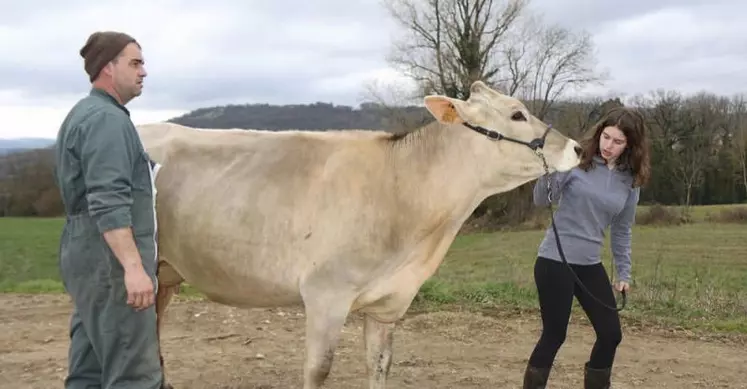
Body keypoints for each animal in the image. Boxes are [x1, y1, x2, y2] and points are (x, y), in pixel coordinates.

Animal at [137, 79, 584, 388]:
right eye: (516, 114)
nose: (578, 148)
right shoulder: (325, 294)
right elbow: (318, 370)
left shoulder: (389, 302)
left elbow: (380, 365)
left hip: (166, 273)